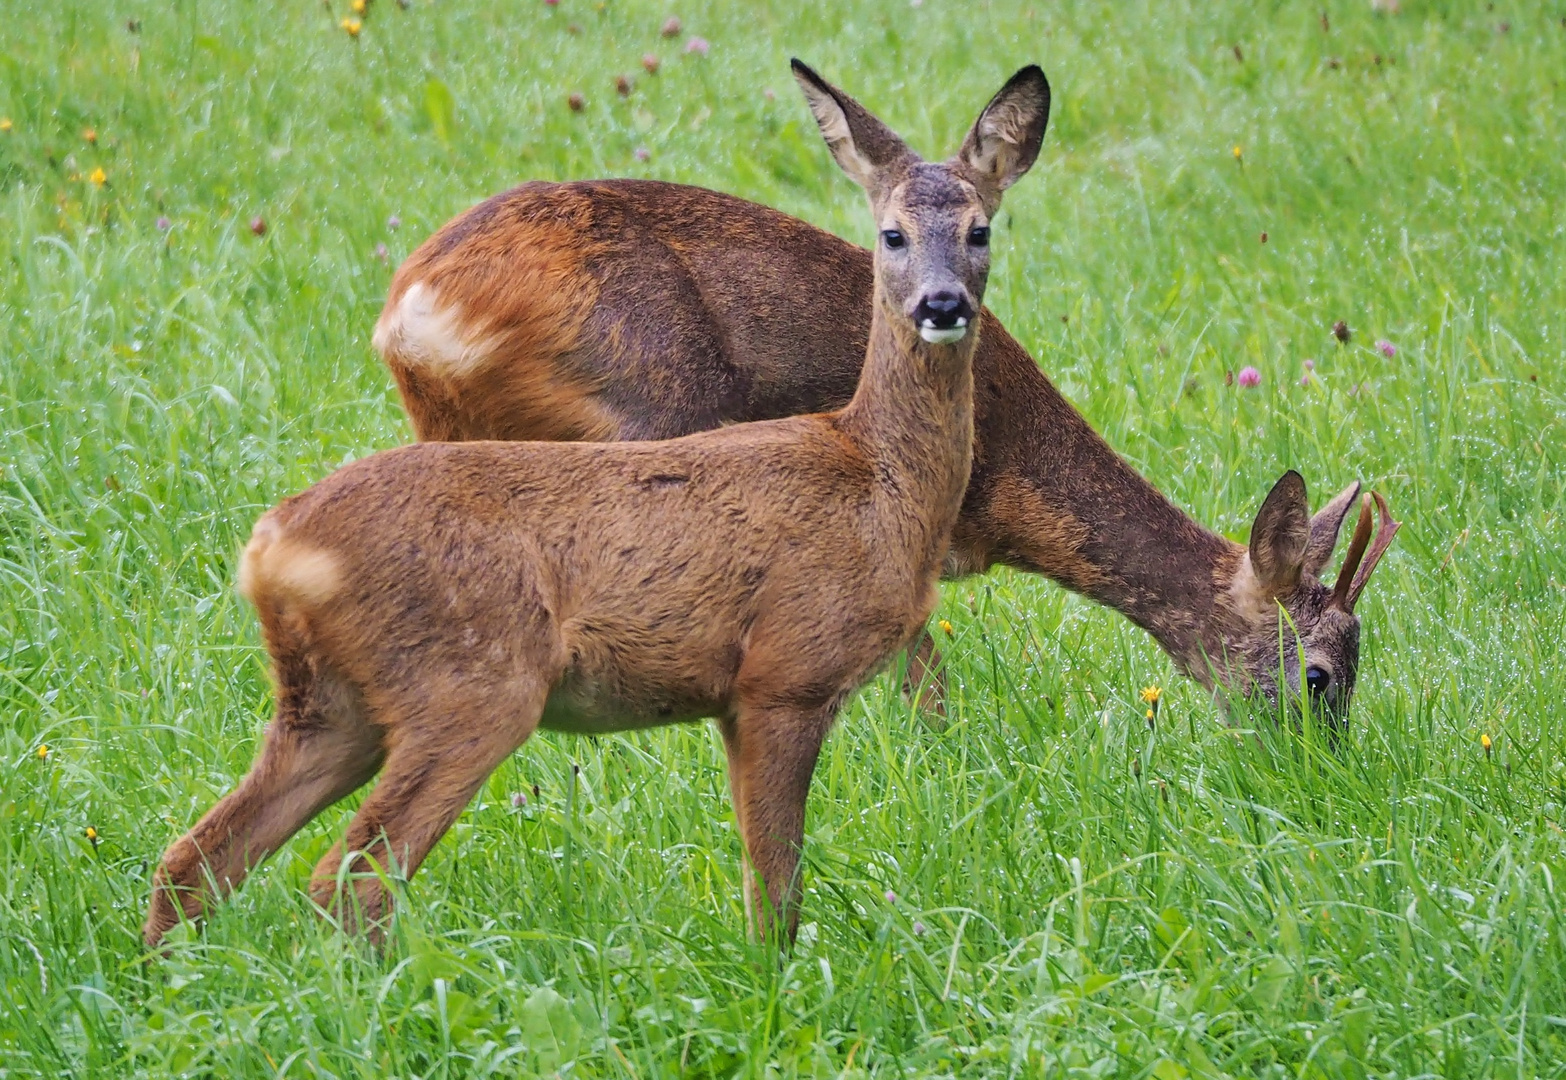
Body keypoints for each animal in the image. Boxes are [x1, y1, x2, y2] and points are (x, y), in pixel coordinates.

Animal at [144, 63, 1052, 945]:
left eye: (980, 231)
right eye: (891, 235)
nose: (942, 305)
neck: (876, 477)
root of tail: (271, 551)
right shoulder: (782, 677)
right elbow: (775, 895)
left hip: (332, 708)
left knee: (194, 859)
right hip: (469, 684)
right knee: (349, 878)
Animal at [375, 168, 1396, 720]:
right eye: (1318, 677)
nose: (1321, 768)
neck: (1011, 482)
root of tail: (413, 310)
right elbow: (925, 685)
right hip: (650, 410)